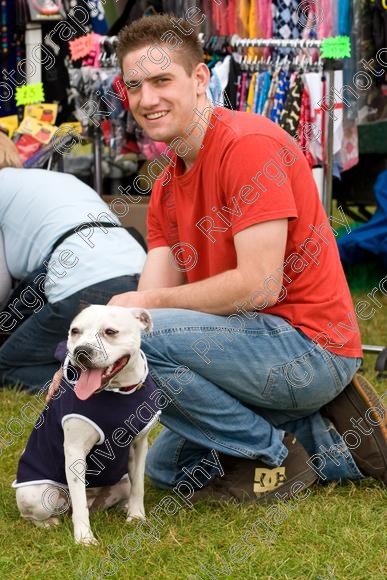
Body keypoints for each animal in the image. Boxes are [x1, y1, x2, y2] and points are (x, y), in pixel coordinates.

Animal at [13, 306, 159, 548]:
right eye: (75, 331)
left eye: (110, 332)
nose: (82, 351)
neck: (116, 391)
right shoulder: (75, 451)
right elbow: (80, 504)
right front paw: (84, 538)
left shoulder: (139, 445)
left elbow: (139, 486)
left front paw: (137, 517)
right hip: (36, 494)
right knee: (43, 512)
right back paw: (49, 522)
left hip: (121, 483)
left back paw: (124, 507)